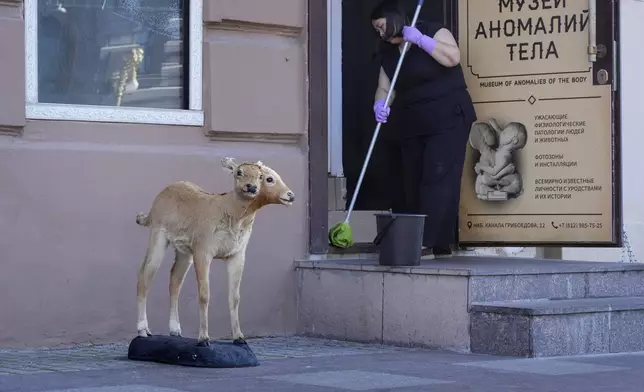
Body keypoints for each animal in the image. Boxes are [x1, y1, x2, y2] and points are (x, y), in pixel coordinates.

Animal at [137, 157, 298, 346]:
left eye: (260, 176)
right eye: (269, 178)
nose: (290, 195)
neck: (232, 213)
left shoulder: (237, 254)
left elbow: (235, 297)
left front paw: (239, 337)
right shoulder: (203, 250)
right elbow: (204, 294)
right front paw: (203, 338)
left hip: (184, 251)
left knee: (174, 280)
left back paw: (175, 330)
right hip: (158, 235)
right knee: (145, 274)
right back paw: (142, 329)